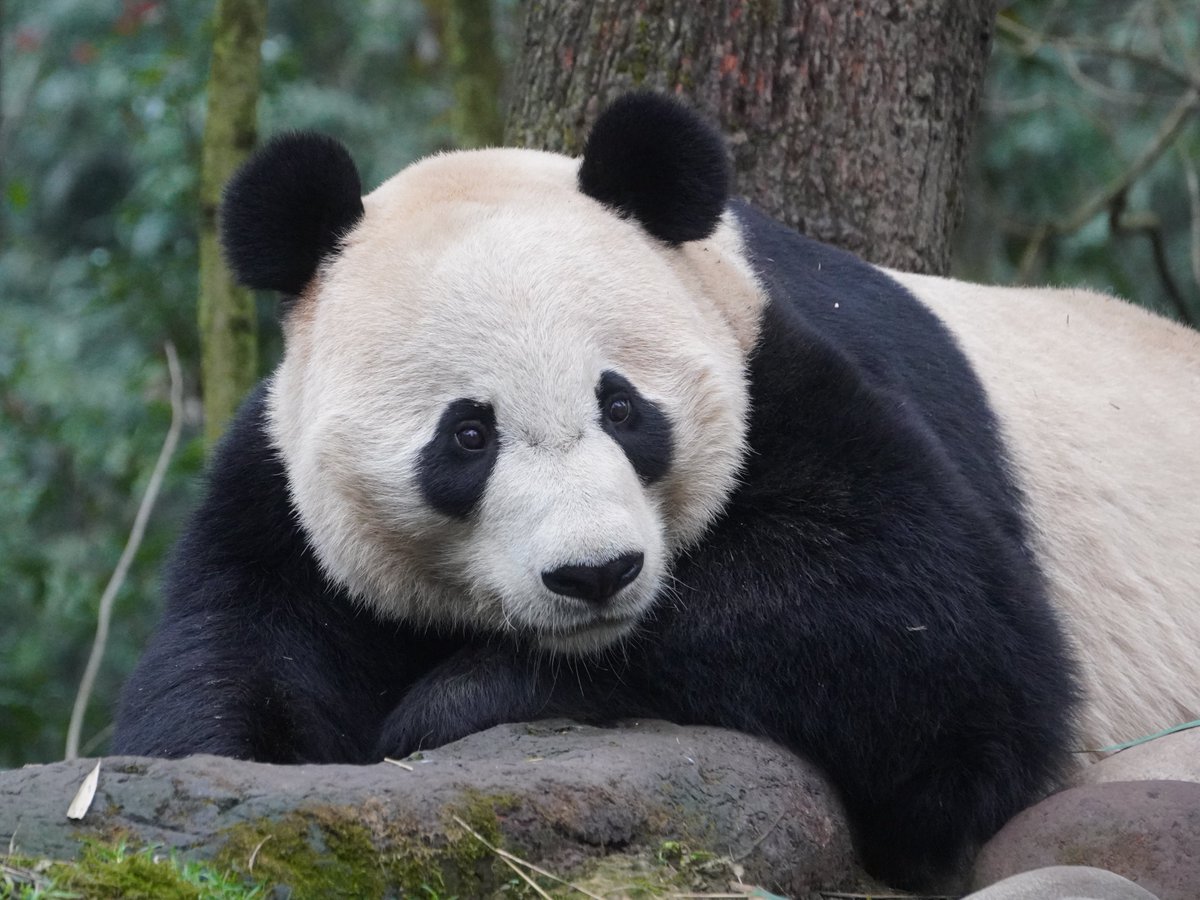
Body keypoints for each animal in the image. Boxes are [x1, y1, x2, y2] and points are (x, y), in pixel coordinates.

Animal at [113, 93, 1200, 890]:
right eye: (468, 434)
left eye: (624, 407)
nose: (595, 574)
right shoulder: (282, 485)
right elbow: (232, 653)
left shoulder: (786, 368)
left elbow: (945, 640)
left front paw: (446, 706)